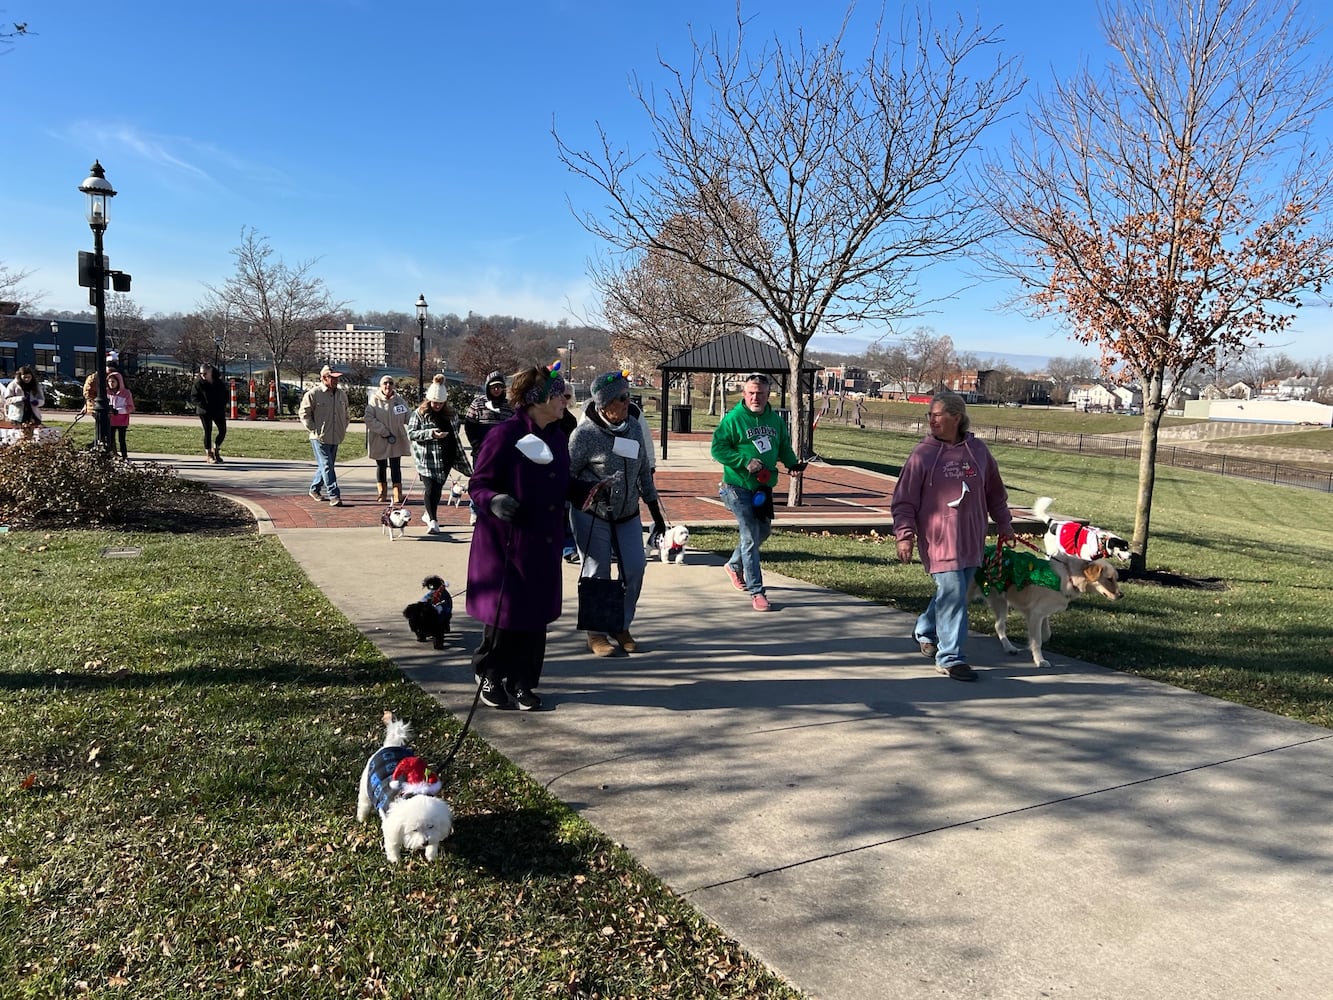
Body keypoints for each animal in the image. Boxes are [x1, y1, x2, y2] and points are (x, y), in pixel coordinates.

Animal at [357, 709, 455, 864]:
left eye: (431, 826)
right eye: (414, 830)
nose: (425, 842)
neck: (410, 795)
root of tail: (390, 746)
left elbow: (435, 842)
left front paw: (431, 854)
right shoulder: (391, 827)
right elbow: (392, 844)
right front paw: (395, 860)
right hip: (366, 789)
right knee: (364, 804)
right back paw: (362, 818)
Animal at [975, 544, 1119, 669]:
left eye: (1116, 579)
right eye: (1109, 579)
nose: (1121, 595)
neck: (1070, 576)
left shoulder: (1041, 613)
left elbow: (1045, 635)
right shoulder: (1036, 614)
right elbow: (1037, 641)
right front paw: (1040, 660)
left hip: (1001, 603)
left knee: (998, 626)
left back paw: (1009, 648)